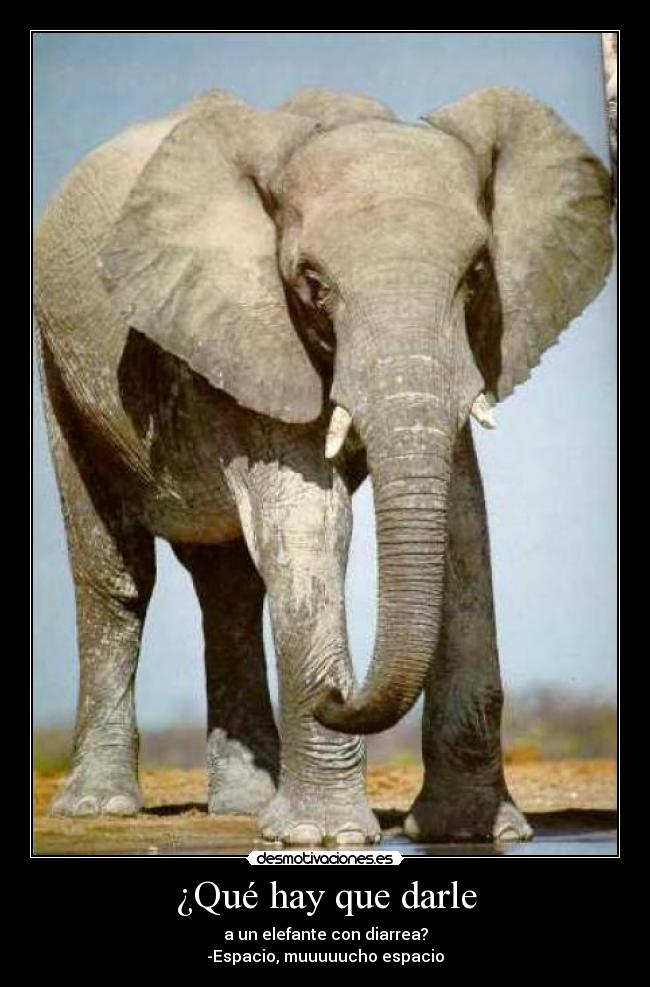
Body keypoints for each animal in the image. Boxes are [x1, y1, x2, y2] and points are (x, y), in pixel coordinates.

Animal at [34, 85, 613, 845]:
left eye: (479, 273)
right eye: (312, 282)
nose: (339, 690)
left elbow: (463, 526)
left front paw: (471, 833)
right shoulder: (255, 330)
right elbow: (308, 527)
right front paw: (322, 836)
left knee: (229, 587)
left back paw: (245, 804)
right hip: (60, 365)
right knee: (116, 573)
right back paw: (102, 806)